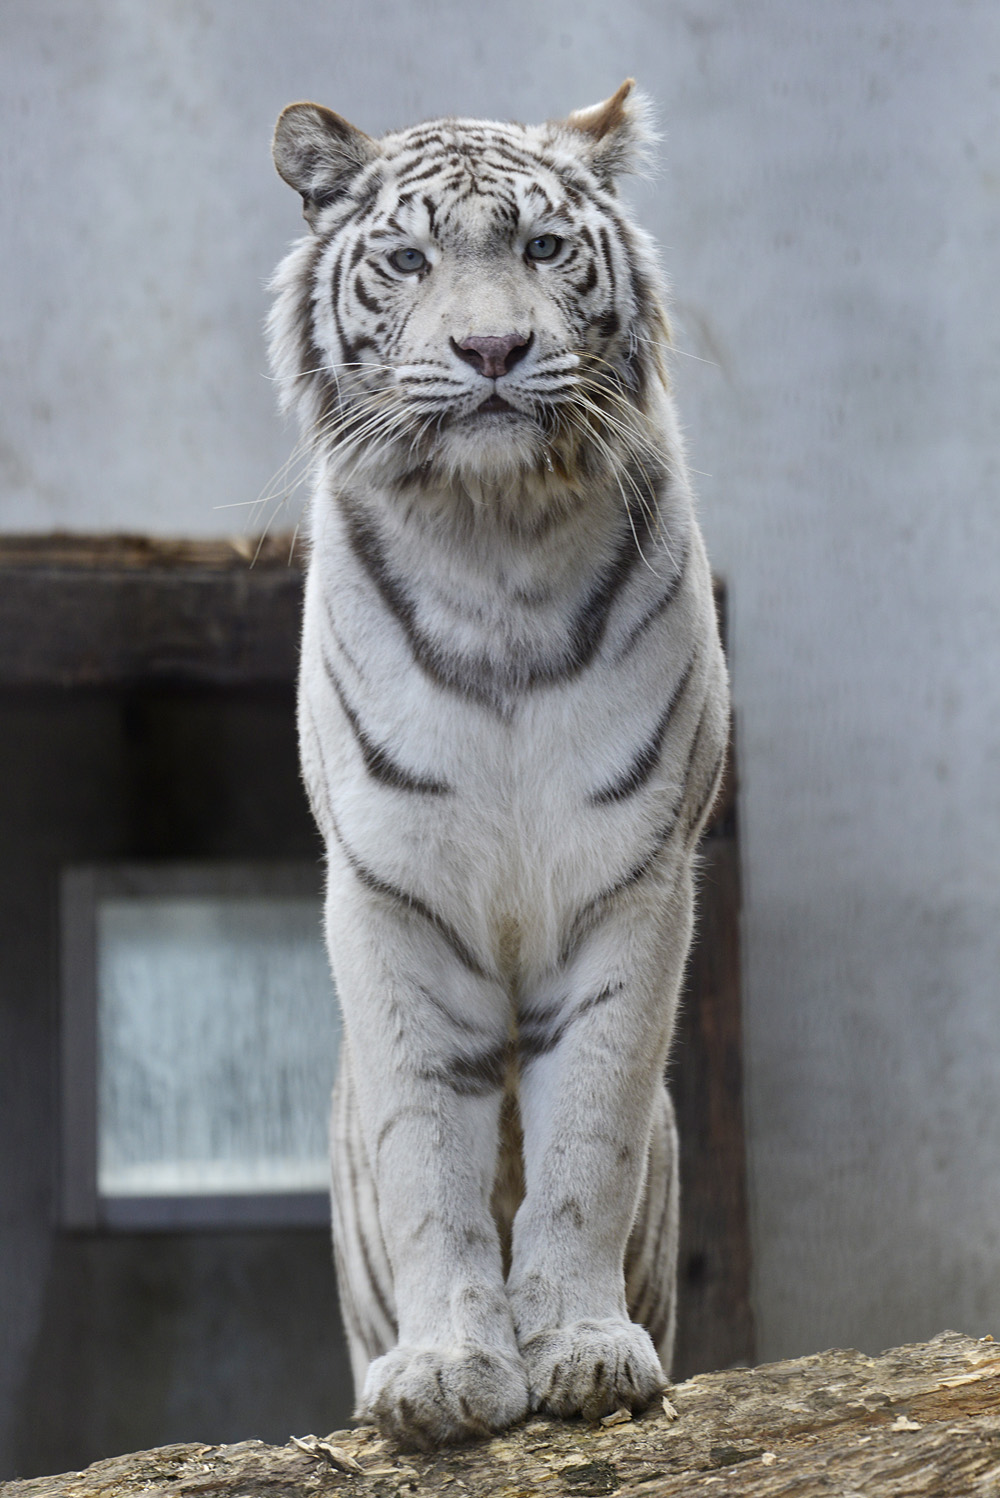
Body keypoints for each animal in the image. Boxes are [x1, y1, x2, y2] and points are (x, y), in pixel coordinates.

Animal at [267, 85, 727, 1450]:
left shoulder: (637, 872)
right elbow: (430, 1152)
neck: (496, 541)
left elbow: (585, 1141)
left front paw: (579, 1349)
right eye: (411, 259)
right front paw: (447, 1371)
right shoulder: (390, 888)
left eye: (542, 247)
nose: (489, 352)